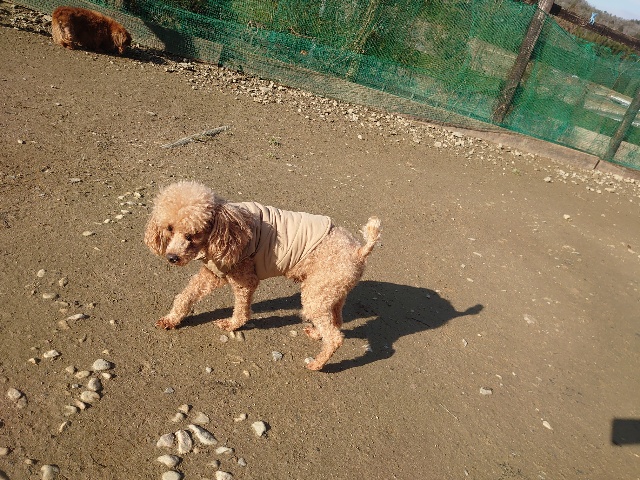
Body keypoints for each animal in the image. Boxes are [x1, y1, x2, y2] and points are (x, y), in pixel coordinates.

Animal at [144, 181, 381, 371]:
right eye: (169, 228)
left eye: (192, 235)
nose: (172, 257)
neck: (226, 225)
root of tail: (359, 251)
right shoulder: (214, 272)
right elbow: (186, 295)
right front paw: (172, 319)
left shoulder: (244, 278)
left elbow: (241, 310)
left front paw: (232, 325)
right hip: (330, 292)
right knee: (336, 321)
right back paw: (316, 334)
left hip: (317, 294)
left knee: (335, 337)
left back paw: (317, 364)